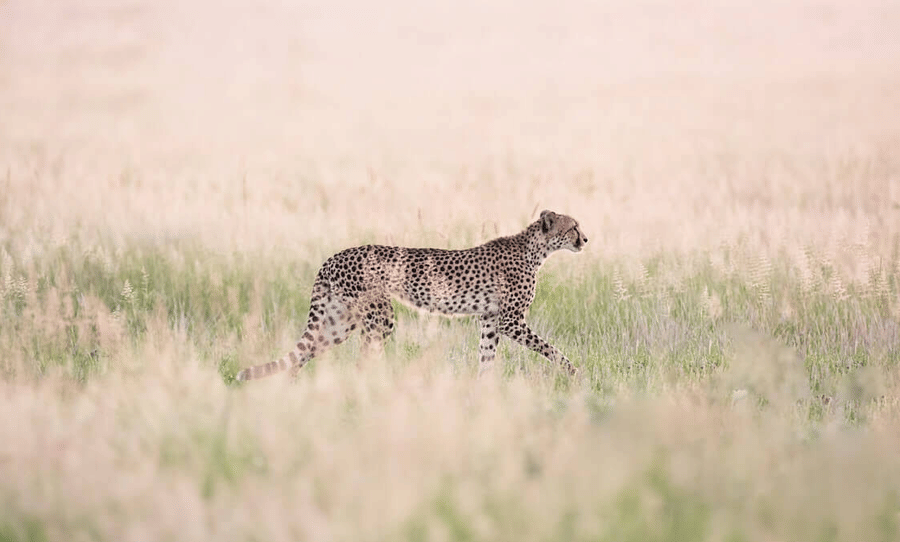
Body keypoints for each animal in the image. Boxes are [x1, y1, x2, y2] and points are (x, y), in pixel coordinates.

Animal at [235, 210, 587, 381]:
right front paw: (574, 374)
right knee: (363, 358)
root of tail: (336, 255)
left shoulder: (489, 321)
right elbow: (551, 350)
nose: (585, 239)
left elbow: (486, 359)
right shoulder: (510, 320)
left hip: (340, 321)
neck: (536, 250)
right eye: (573, 227)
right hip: (379, 316)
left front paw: (482, 392)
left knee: (304, 354)